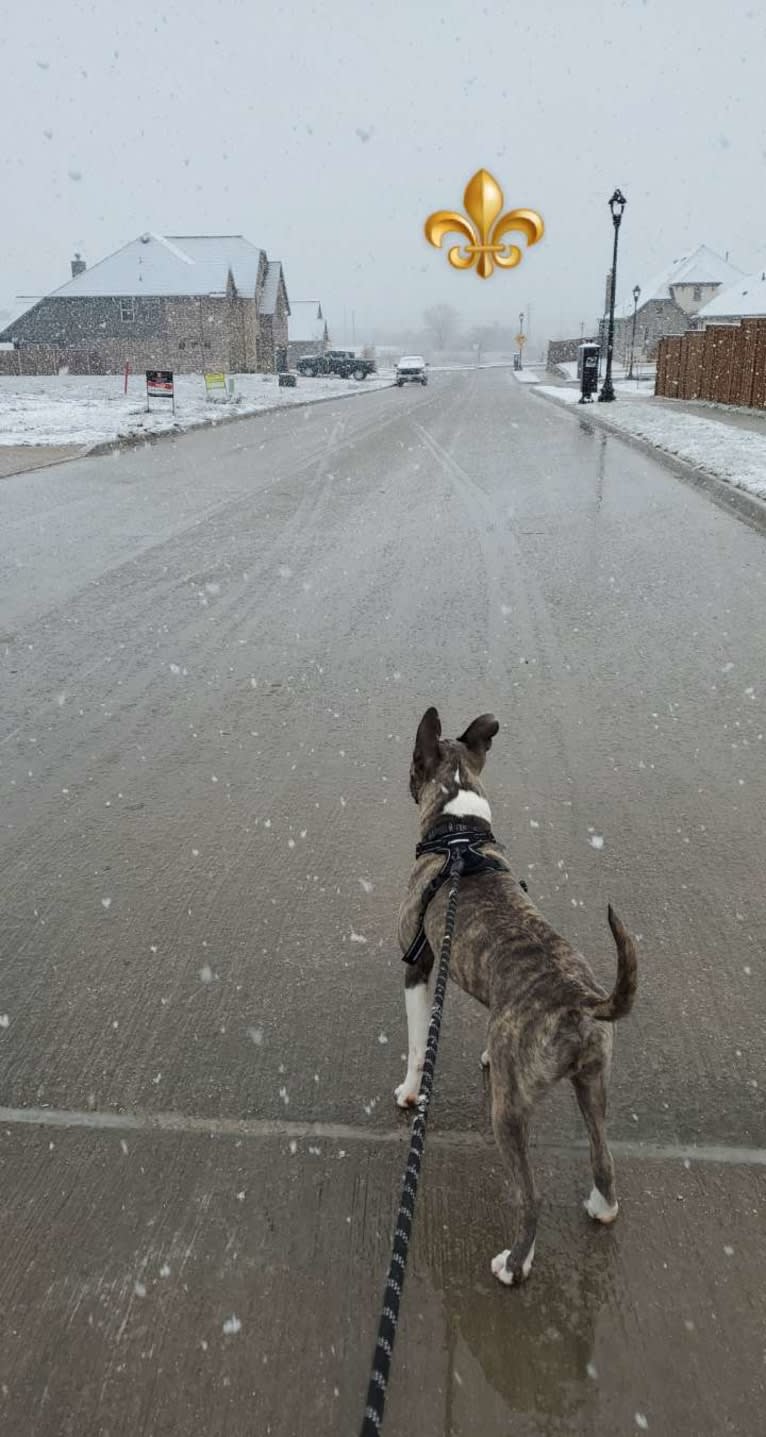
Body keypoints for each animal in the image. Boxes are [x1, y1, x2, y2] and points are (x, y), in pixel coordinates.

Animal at [396, 712, 635, 1287]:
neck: (460, 836)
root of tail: (580, 1001)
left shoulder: (418, 965)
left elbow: (416, 1047)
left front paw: (410, 1093)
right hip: (594, 1083)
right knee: (603, 1157)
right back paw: (602, 1207)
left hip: (507, 1113)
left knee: (531, 1198)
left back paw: (514, 1264)